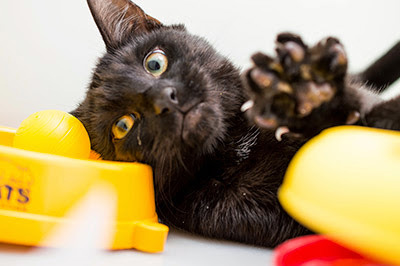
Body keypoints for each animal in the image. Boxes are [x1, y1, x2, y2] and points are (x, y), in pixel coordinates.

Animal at [72, 0, 400, 247]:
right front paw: (312, 99)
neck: (235, 143)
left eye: (154, 63)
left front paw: (310, 92)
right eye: (123, 126)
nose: (165, 99)